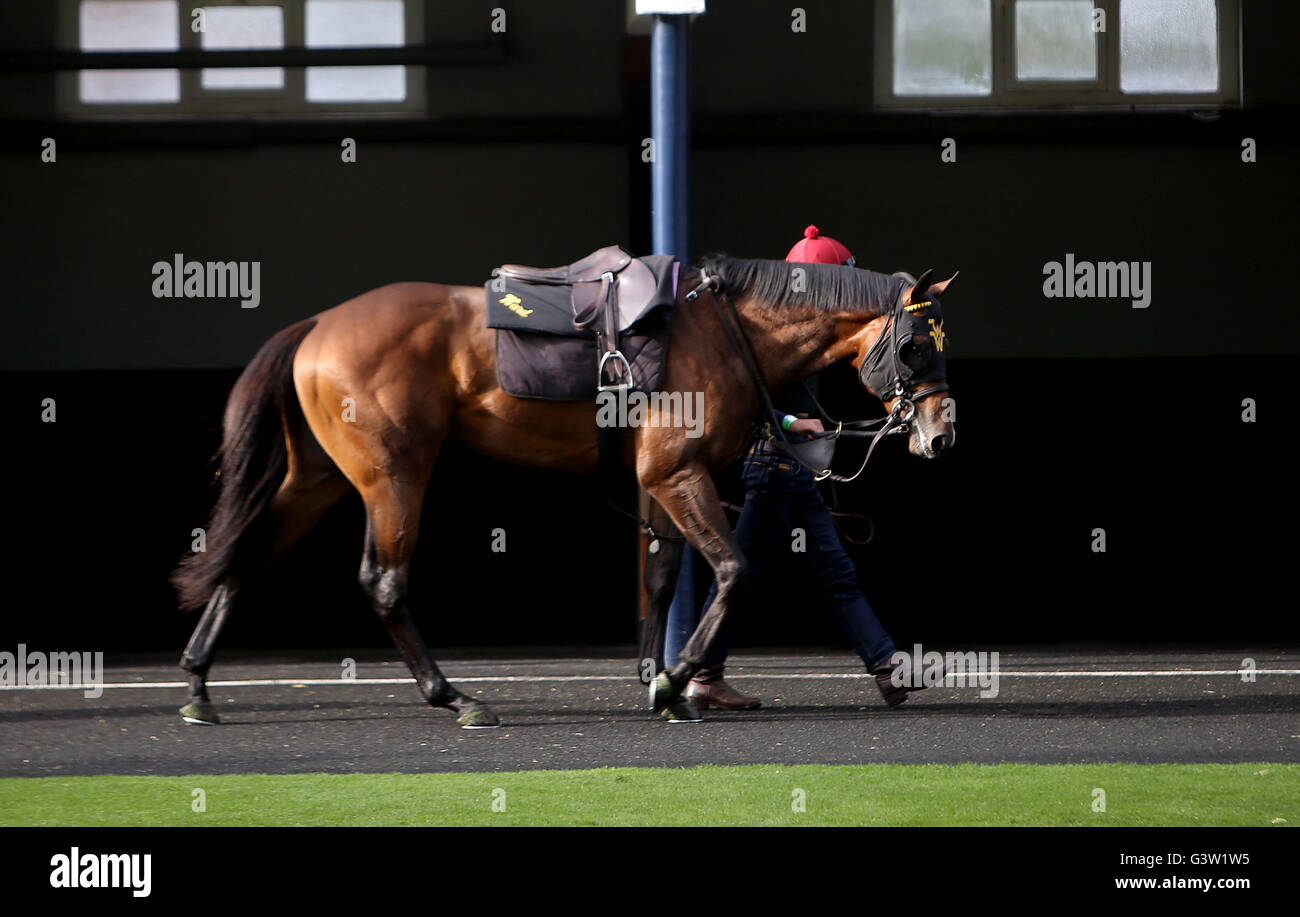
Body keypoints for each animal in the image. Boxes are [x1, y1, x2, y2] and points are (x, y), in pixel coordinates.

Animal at [171, 255, 957, 728]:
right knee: (384, 581)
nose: (943, 431)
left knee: (248, 551)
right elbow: (734, 570)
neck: (723, 331)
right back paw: (455, 697)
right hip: (392, 473)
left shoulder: (658, 479)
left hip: (322, 475)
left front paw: (660, 678)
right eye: (917, 344)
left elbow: (663, 577)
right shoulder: (676, 472)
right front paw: (675, 681)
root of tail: (319, 324)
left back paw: (199, 685)